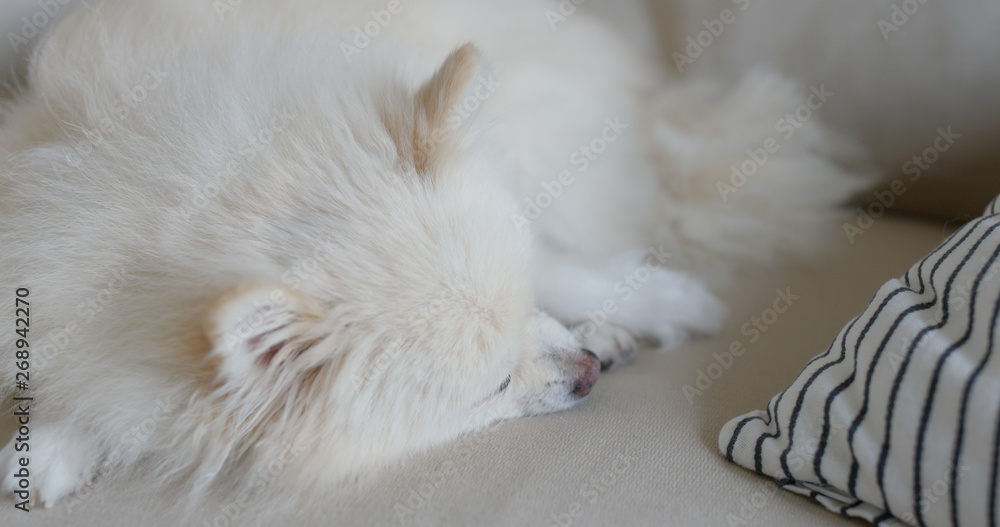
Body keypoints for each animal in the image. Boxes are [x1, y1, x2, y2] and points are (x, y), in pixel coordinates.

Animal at [0, 0, 860, 510]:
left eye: (525, 317)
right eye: (493, 387)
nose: (585, 371)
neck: (228, 186)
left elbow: (563, 266)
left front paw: (671, 301)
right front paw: (46, 447)